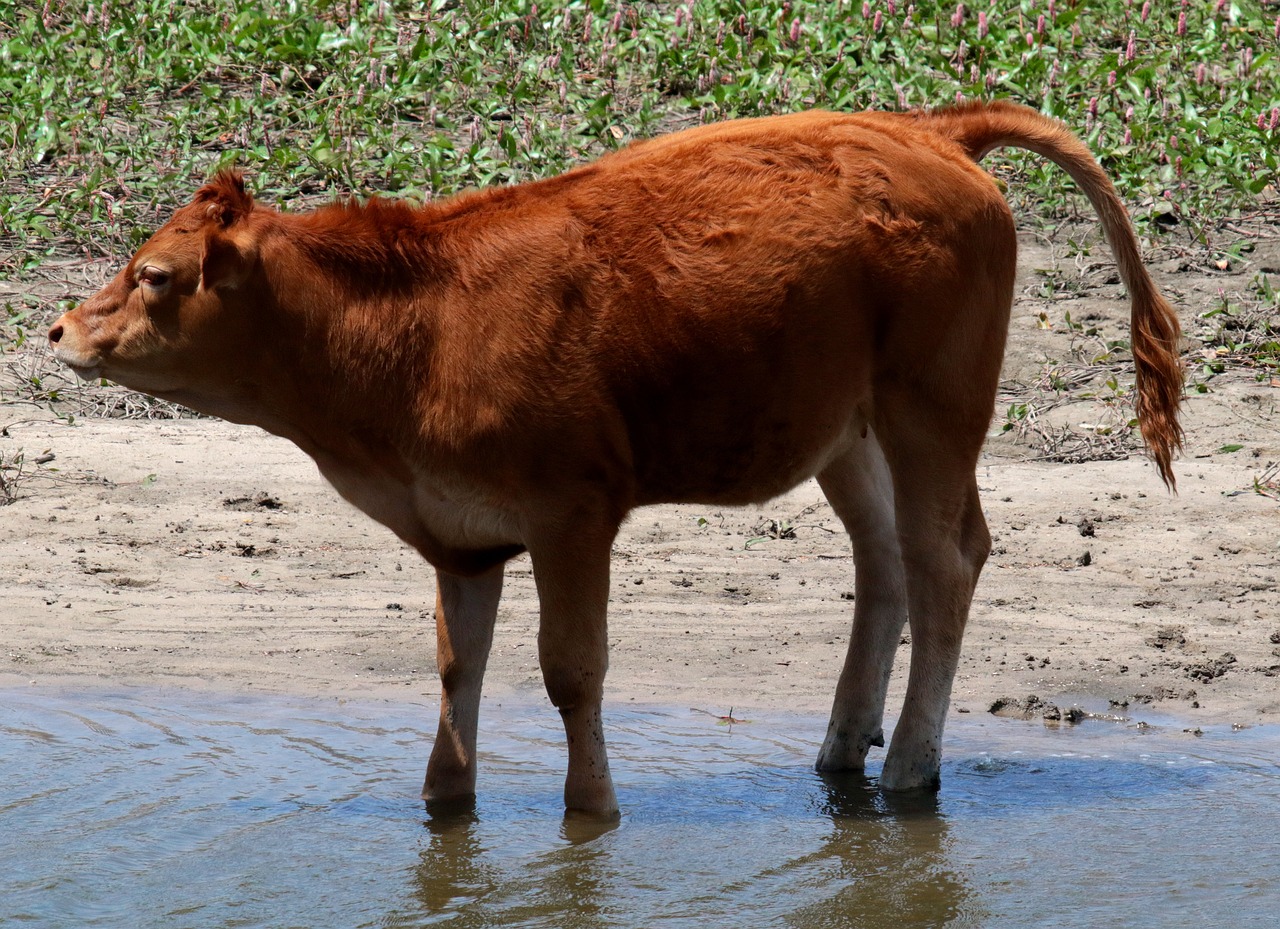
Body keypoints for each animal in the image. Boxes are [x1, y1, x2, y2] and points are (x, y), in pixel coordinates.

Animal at [55, 98, 1182, 818]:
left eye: (155, 274)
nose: (60, 328)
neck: (418, 324)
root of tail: (928, 130)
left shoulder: (572, 512)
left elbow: (571, 669)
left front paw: (589, 810)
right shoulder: (459, 536)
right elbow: (458, 667)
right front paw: (444, 805)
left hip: (930, 410)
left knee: (946, 558)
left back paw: (907, 766)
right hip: (846, 426)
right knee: (886, 561)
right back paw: (840, 751)